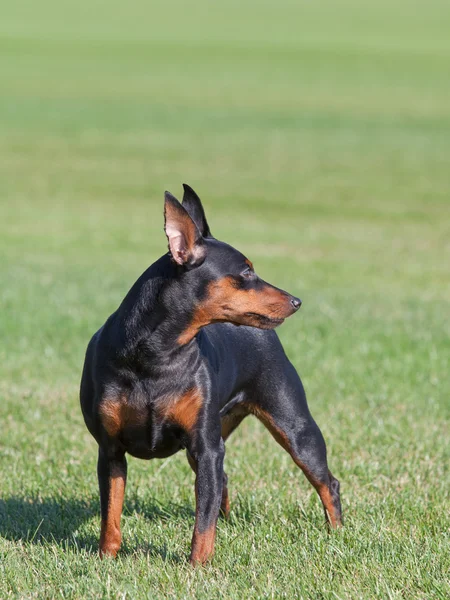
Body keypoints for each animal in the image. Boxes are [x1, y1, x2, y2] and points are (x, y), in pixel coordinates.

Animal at [80, 185, 342, 564]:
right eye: (245, 273)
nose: (296, 301)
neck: (158, 354)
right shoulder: (111, 449)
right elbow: (111, 513)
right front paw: (106, 558)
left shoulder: (206, 448)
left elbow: (202, 523)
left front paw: (198, 567)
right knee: (225, 480)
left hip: (294, 427)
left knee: (327, 482)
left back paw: (338, 534)